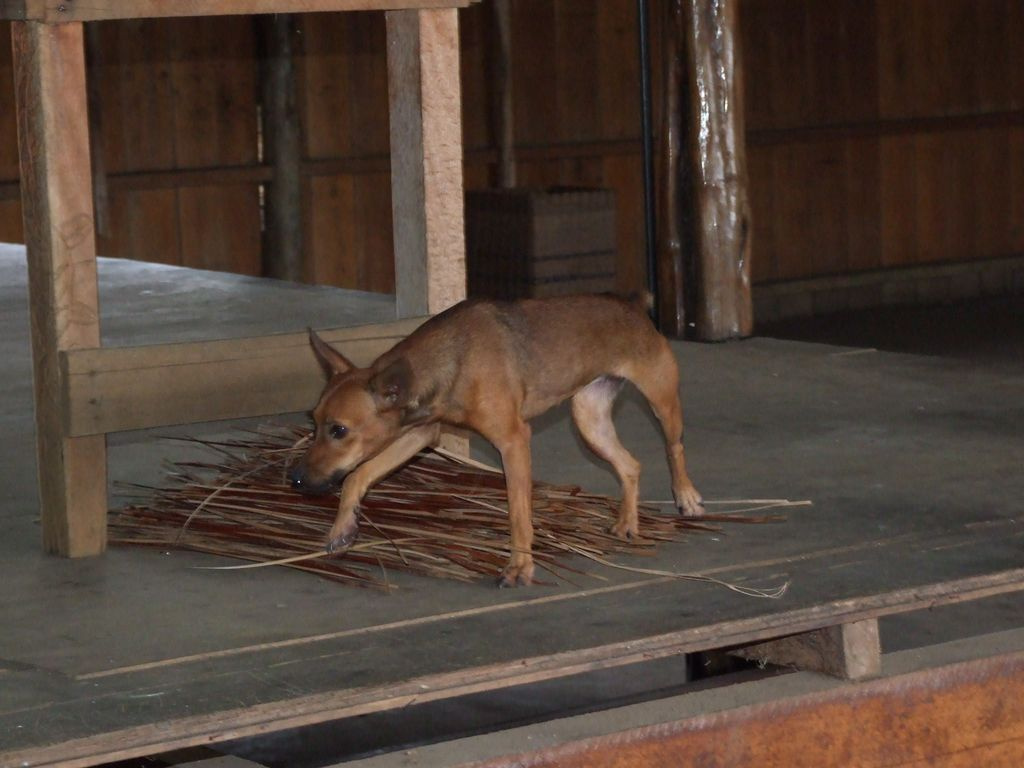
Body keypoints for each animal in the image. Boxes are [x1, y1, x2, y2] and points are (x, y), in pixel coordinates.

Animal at [292, 294, 700, 589]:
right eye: (313, 421)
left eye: (339, 430)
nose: (295, 479)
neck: (453, 358)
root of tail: (635, 309)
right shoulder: (422, 434)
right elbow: (356, 477)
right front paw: (342, 529)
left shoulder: (513, 442)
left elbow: (518, 514)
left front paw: (519, 566)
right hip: (589, 422)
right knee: (631, 465)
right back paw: (627, 523)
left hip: (662, 402)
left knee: (674, 448)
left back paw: (686, 497)